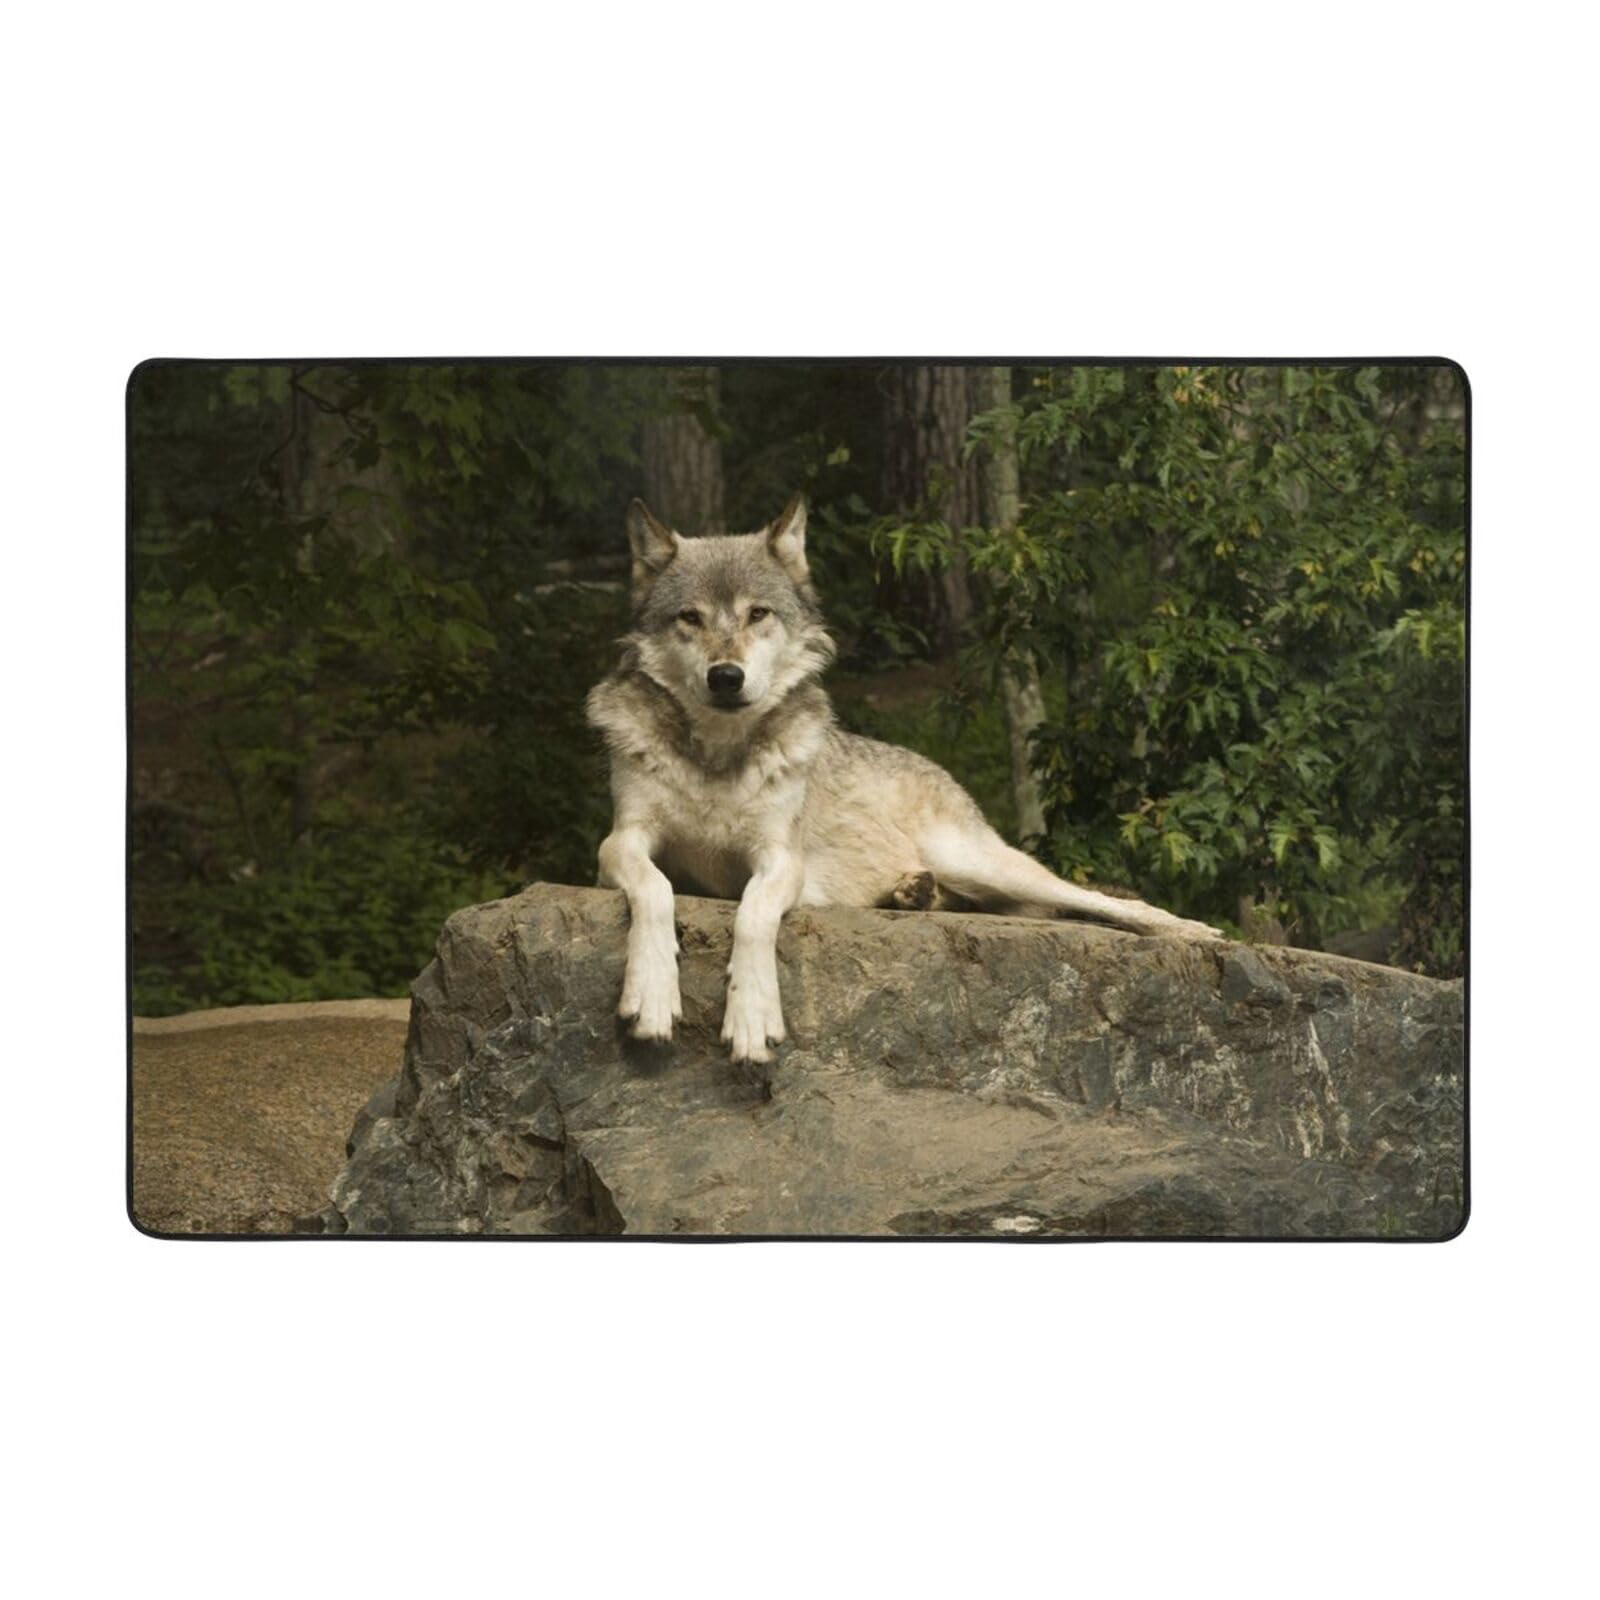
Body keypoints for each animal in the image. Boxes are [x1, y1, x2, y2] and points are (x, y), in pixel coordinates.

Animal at [585, 496, 1220, 1068]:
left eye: (757, 614)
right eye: (689, 618)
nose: (725, 677)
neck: (717, 757)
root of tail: (938, 769)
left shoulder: (780, 859)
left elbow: (754, 912)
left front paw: (751, 1017)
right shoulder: (620, 843)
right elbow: (656, 889)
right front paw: (653, 993)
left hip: (981, 861)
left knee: (1102, 902)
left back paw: (1192, 931)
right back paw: (914, 893)